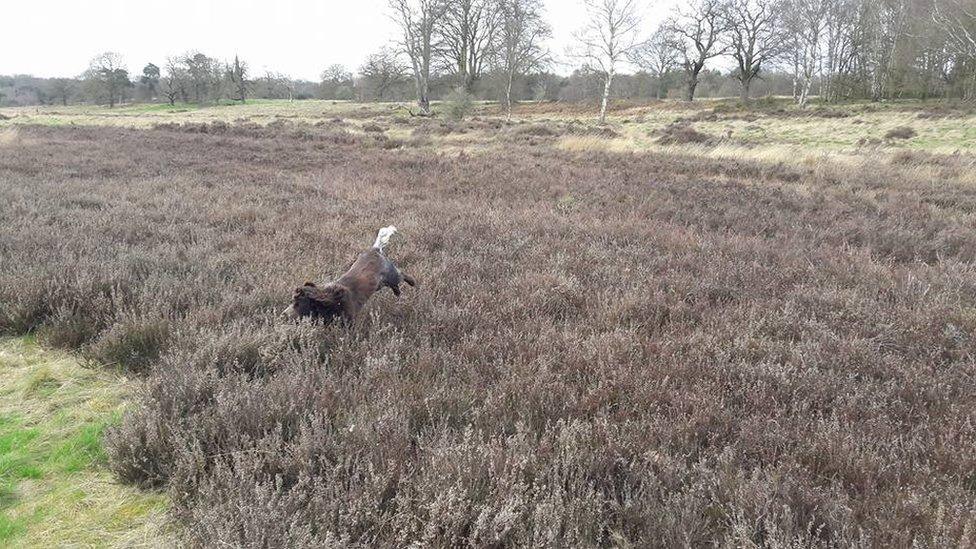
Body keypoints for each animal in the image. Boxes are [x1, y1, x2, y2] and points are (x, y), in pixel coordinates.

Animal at [284, 225, 418, 324]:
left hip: (391, 275)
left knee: (402, 275)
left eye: (297, 304)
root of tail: (374, 249)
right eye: (292, 301)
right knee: (395, 286)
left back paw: (412, 283)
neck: (331, 298)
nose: (283, 315)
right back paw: (398, 293)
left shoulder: (349, 319)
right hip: (381, 284)